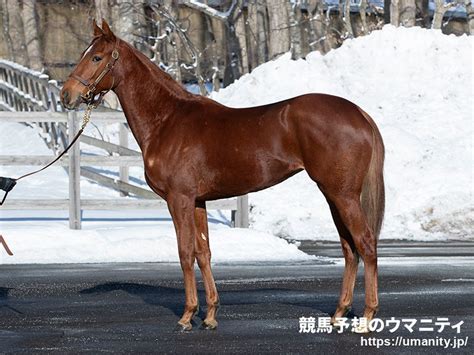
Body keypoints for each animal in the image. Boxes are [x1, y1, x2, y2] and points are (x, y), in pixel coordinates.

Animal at [60, 20, 386, 334]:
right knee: (349, 249)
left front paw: (187, 316)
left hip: (343, 195)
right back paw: (339, 313)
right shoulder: (197, 201)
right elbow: (203, 252)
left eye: (97, 57)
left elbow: (184, 252)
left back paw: (367, 316)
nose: (66, 95)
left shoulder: (179, 199)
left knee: (366, 243)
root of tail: (359, 113)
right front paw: (210, 316)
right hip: (333, 196)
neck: (168, 120)